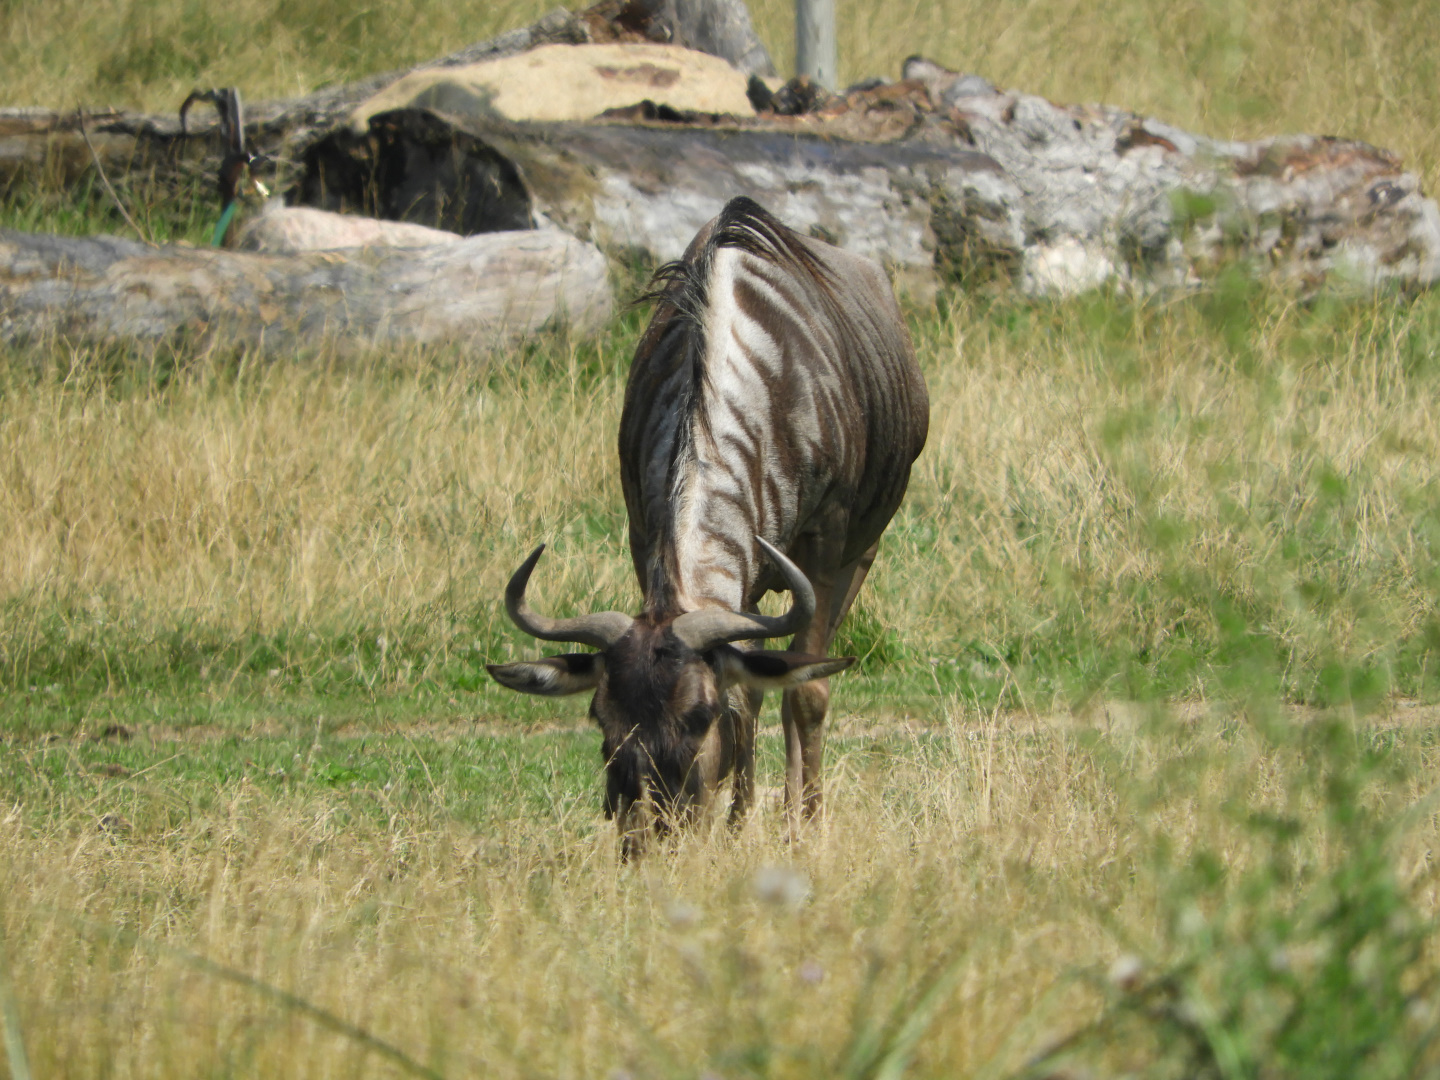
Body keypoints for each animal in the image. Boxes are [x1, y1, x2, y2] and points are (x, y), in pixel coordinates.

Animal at [488, 197, 928, 853]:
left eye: (700, 715)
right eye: (601, 718)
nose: (652, 831)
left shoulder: (825, 549)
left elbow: (804, 692)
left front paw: (804, 830)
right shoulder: (647, 535)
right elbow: (746, 693)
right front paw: (737, 827)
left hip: (862, 553)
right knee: (756, 684)